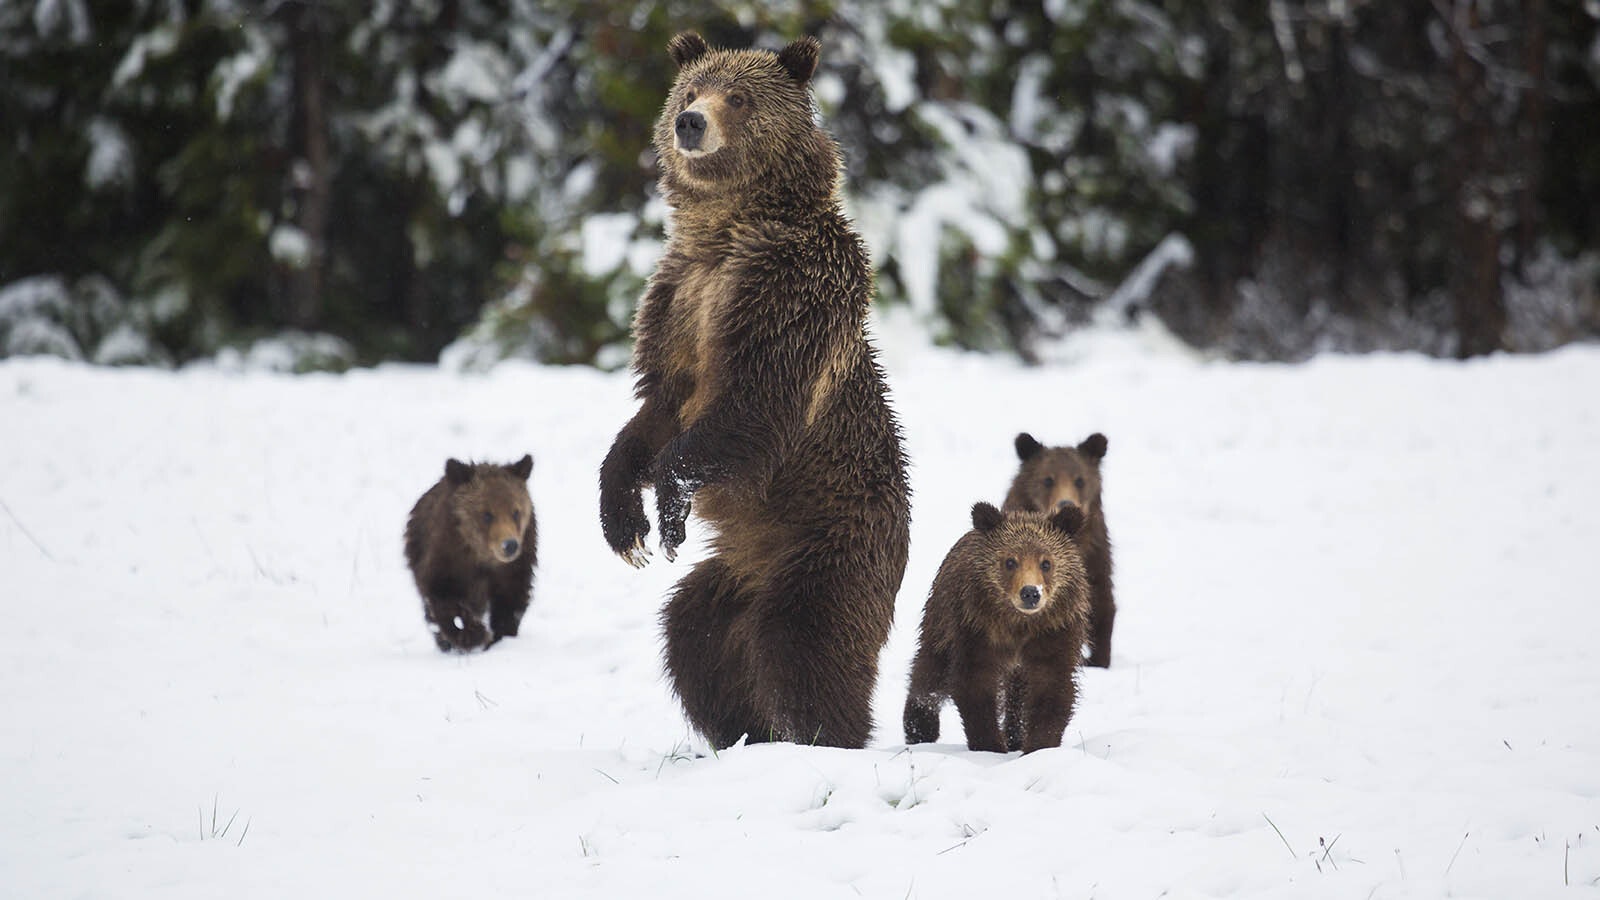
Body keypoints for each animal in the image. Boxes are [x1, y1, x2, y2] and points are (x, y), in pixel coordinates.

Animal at [405, 454, 537, 653]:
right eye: (487, 514)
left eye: (516, 512)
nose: (510, 545)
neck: (480, 556)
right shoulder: (445, 561)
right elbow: (443, 600)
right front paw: (471, 634)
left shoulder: (514, 569)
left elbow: (510, 604)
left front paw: (499, 638)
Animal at [597, 32, 910, 750]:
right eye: (690, 90)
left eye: (738, 97)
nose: (690, 123)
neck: (726, 232)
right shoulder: (678, 302)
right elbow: (654, 412)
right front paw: (626, 525)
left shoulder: (785, 296)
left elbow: (750, 406)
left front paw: (669, 507)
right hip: (735, 571)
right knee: (694, 638)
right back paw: (743, 734)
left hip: (828, 544)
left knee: (803, 643)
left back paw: (827, 737)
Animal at [902, 502, 1091, 754]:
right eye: (1010, 561)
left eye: (1046, 563)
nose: (1030, 593)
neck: (1018, 624)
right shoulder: (976, 628)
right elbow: (975, 682)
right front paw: (989, 745)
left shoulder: (1054, 631)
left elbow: (1052, 686)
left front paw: (1039, 746)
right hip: (940, 619)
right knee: (930, 671)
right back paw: (919, 726)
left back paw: (1015, 735)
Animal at [1003, 432, 1116, 668]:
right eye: (1048, 479)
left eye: (1080, 480)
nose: (1066, 503)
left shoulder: (1095, 557)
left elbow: (1100, 603)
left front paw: (1099, 660)